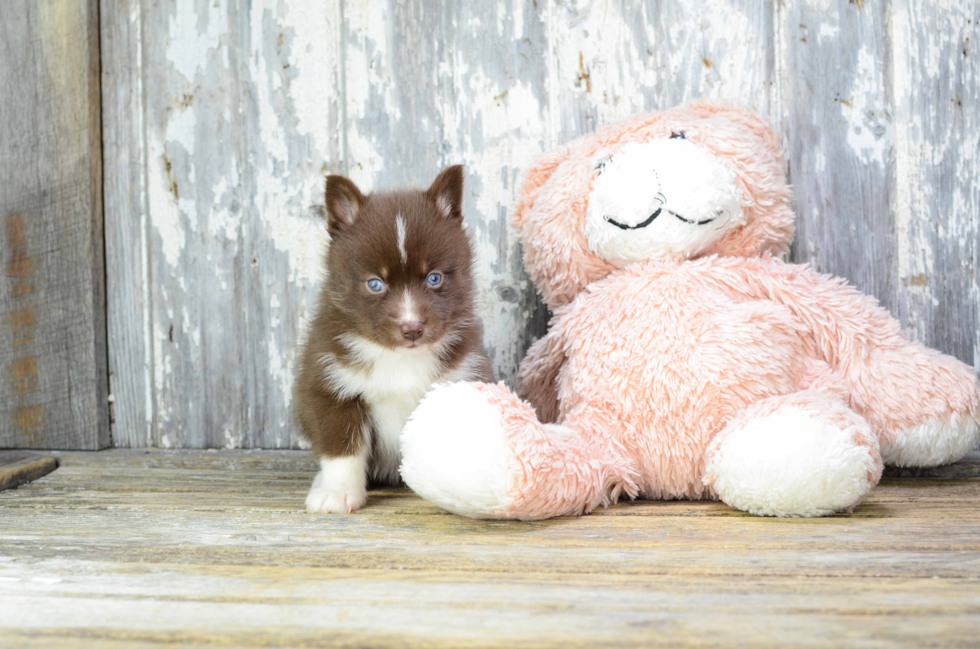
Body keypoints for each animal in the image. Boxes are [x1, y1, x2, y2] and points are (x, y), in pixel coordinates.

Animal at [290, 165, 490, 512]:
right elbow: (342, 446)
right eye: (375, 284)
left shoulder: (461, 374)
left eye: (434, 278)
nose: (412, 328)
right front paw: (337, 492)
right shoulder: (330, 383)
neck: (399, 358)